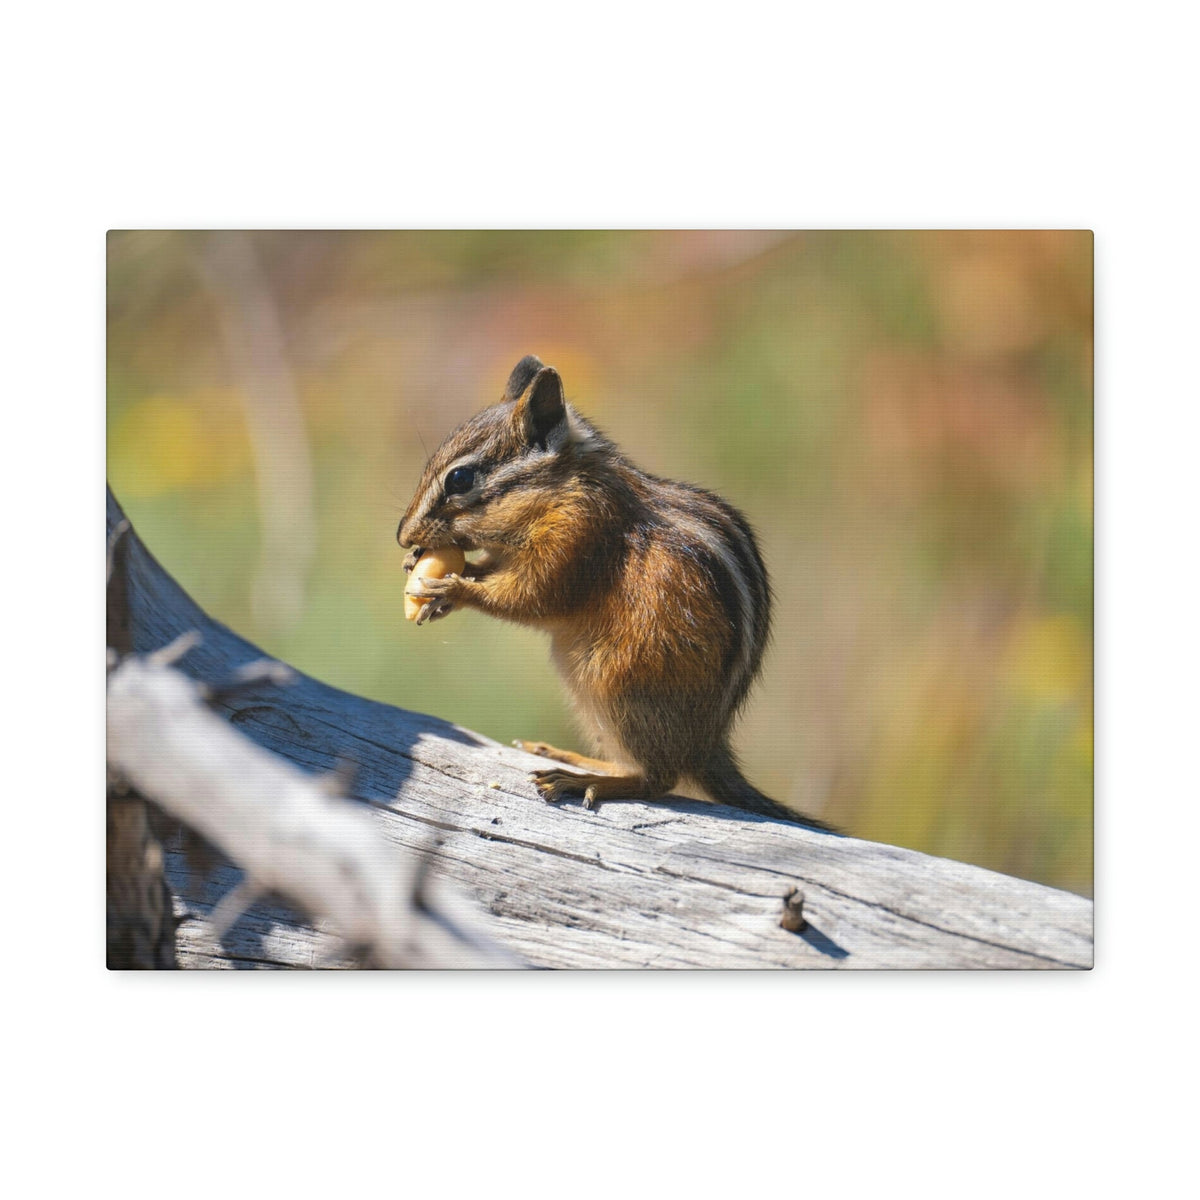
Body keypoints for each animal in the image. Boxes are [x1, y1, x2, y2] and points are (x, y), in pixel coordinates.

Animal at [397, 355, 835, 831]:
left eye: (459, 479)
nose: (403, 536)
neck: (563, 489)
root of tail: (705, 745)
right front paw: (430, 572)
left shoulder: (579, 538)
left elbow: (532, 597)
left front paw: (452, 588)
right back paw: (569, 757)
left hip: (618, 685)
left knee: (658, 779)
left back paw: (582, 780)